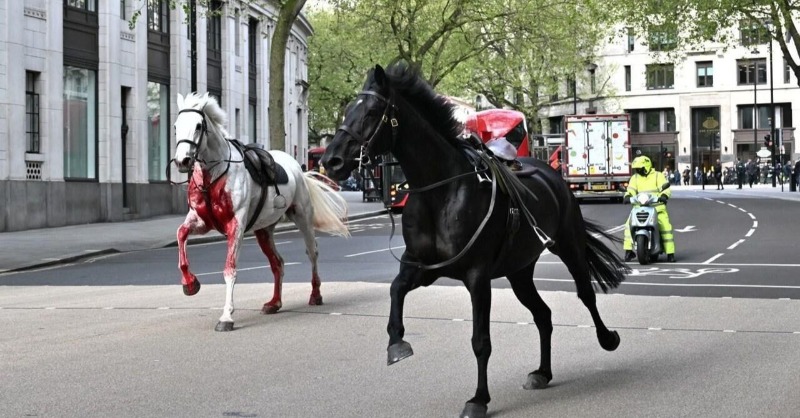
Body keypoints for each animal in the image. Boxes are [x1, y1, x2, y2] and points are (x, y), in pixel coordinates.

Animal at [171, 92, 350, 332]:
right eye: (175, 126)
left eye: (199, 126)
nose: (182, 161)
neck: (214, 175)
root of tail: (298, 168)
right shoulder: (201, 221)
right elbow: (181, 234)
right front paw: (190, 284)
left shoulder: (235, 225)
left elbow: (230, 269)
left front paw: (226, 317)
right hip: (264, 230)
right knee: (278, 263)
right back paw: (274, 303)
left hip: (303, 217)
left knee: (312, 253)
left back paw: (315, 295)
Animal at [321, 64, 629, 418]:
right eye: (347, 110)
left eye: (371, 112)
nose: (331, 161)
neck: (440, 191)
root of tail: (551, 172)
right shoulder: (423, 267)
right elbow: (395, 290)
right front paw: (396, 344)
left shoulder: (477, 276)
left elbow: (481, 340)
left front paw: (479, 399)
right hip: (519, 270)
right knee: (543, 315)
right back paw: (543, 372)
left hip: (568, 244)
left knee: (585, 293)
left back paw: (608, 338)